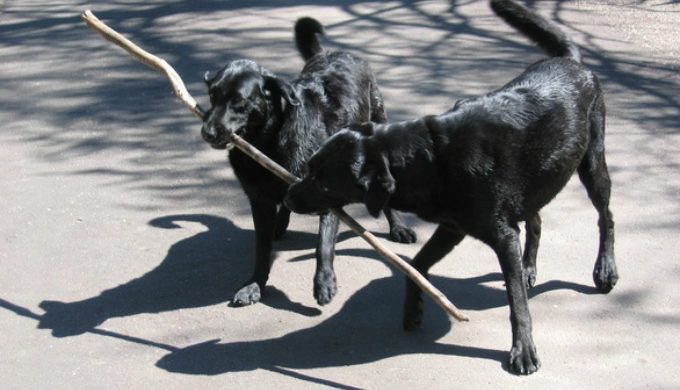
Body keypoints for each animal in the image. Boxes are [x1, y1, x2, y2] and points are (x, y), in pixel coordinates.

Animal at [199, 16, 418, 308]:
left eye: (239, 101)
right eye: (213, 95)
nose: (208, 132)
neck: (268, 142)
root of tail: (331, 53)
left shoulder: (328, 194)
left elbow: (322, 243)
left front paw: (324, 281)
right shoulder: (259, 201)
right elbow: (262, 249)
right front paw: (255, 284)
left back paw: (398, 227)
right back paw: (281, 224)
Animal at [284, 2, 620, 374]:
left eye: (322, 179)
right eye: (310, 167)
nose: (287, 196)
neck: (433, 157)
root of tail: (571, 60)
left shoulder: (502, 236)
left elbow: (517, 303)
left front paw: (523, 349)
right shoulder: (452, 228)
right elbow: (416, 267)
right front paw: (413, 311)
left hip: (592, 164)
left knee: (606, 218)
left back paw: (605, 270)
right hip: (536, 182)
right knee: (536, 221)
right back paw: (529, 267)